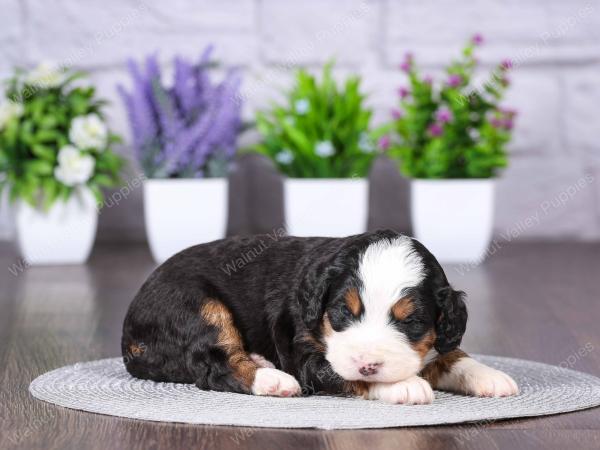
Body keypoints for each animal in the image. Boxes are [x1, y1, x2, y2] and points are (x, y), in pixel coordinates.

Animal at [120, 230, 516, 402]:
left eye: (411, 322)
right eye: (342, 311)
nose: (369, 363)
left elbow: (451, 354)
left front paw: (490, 376)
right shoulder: (302, 350)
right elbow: (344, 374)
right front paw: (402, 385)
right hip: (198, 305)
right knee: (212, 366)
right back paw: (272, 379)